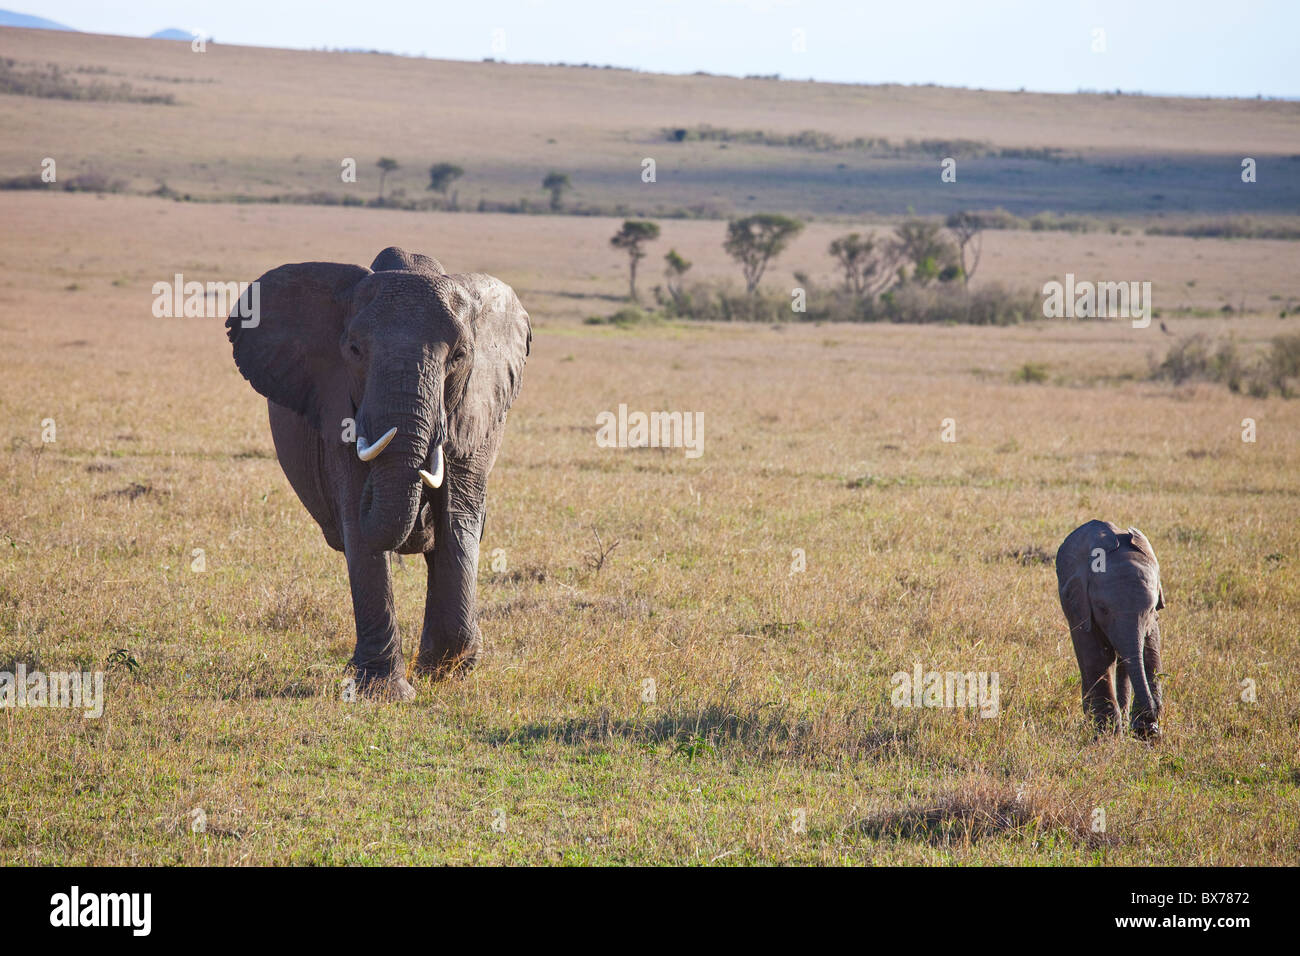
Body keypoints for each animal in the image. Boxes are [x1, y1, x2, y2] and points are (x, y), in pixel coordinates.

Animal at [226, 244, 530, 697]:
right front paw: (383, 691)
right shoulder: (335, 401)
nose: (419, 517)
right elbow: (357, 517)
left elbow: (458, 516)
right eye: (354, 350)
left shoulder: (473, 411)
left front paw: (445, 671)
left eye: (459, 357)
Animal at [1055, 520, 1170, 738]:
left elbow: (1150, 652)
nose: (1152, 715)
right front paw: (1107, 735)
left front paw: (1147, 733)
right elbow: (1097, 657)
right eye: (1103, 609)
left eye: (1152, 608)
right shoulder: (1082, 606)